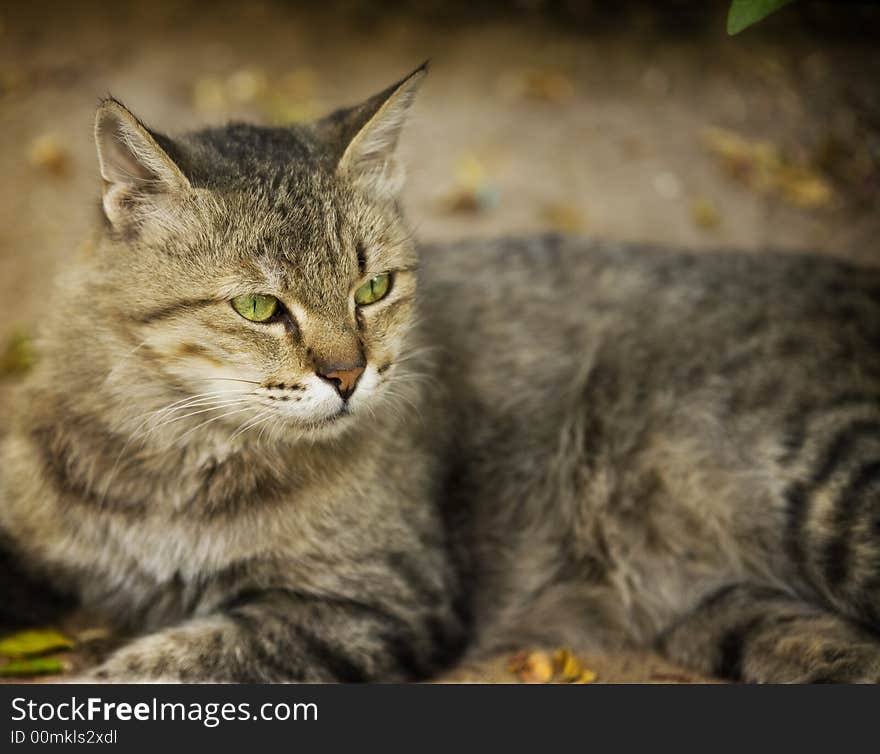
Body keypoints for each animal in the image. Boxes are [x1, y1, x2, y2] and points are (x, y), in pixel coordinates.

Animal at [1, 61, 880, 680]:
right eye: (258, 307)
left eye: (372, 288)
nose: (348, 376)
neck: (173, 458)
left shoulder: (376, 604)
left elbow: (178, 658)